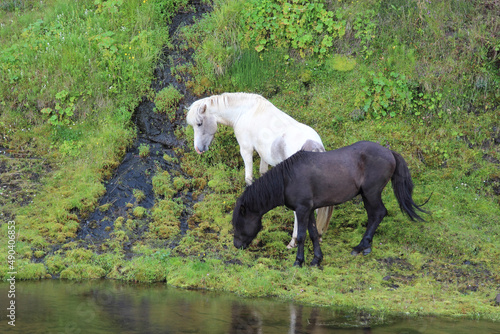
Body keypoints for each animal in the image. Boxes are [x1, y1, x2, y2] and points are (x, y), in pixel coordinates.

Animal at [186, 92, 334, 248]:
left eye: (199, 123)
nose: (198, 149)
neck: (245, 111)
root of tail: (314, 147)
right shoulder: (264, 155)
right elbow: (263, 172)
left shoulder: (246, 150)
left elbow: (249, 177)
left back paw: (293, 242)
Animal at [231, 140, 430, 266]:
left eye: (238, 223)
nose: (236, 245)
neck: (287, 179)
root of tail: (389, 152)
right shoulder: (309, 210)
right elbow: (313, 233)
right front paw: (316, 260)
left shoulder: (302, 210)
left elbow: (302, 236)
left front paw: (298, 261)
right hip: (368, 195)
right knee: (374, 216)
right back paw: (365, 247)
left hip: (371, 193)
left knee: (378, 214)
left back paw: (360, 246)